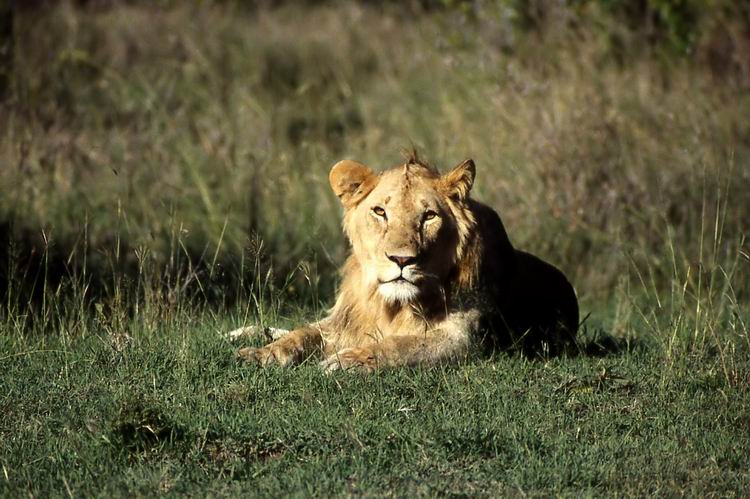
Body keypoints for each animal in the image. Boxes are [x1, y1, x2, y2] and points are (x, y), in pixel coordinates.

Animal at [238, 154, 580, 374]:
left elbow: (399, 345)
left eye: (429, 216)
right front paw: (262, 354)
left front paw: (346, 360)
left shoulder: (463, 340)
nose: (402, 260)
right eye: (380, 212)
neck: (394, 305)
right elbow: (303, 333)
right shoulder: (343, 321)